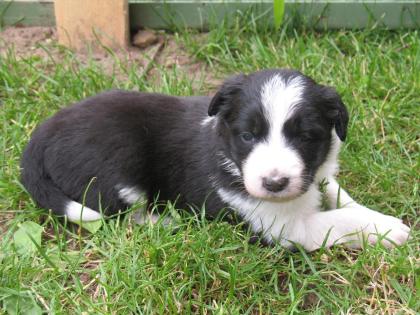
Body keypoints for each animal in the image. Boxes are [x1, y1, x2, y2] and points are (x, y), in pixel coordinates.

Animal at [20, 69, 410, 252]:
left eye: (305, 137)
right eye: (248, 136)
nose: (274, 184)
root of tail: (40, 136)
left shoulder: (319, 175)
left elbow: (341, 197)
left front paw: (379, 218)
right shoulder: (283, 228)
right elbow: (338, 219)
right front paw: (391, 231)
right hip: (120, 169)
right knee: (121, 215)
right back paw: (165, 221)